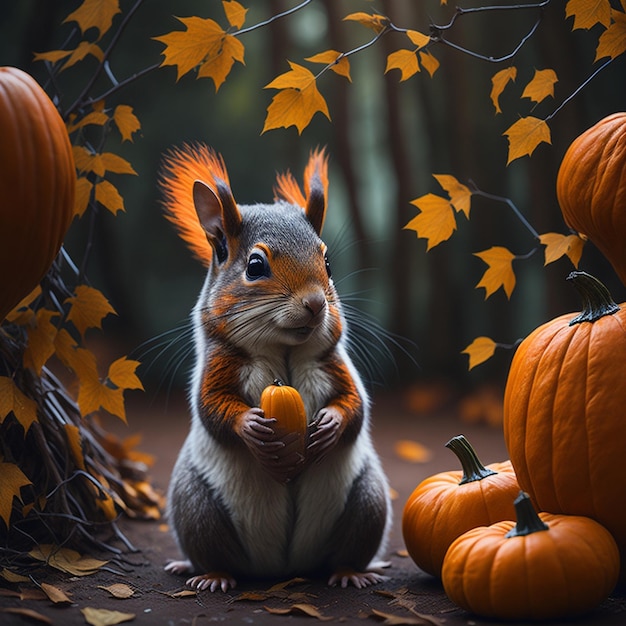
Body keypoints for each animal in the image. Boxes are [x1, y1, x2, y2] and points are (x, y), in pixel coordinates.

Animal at [158, 144, 390, 592]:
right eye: (254, 266)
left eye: (328, 263)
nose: (316, 303)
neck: (284, 352)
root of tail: (283, 568)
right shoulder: (218, 366)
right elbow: (212, 409)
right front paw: (249, 427)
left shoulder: (335, 364)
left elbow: (356, 407)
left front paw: (331, 425)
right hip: (195, 505)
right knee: (212, 549)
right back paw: (209, 574)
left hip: (367, 500)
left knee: (348, 547)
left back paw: (351, 572)